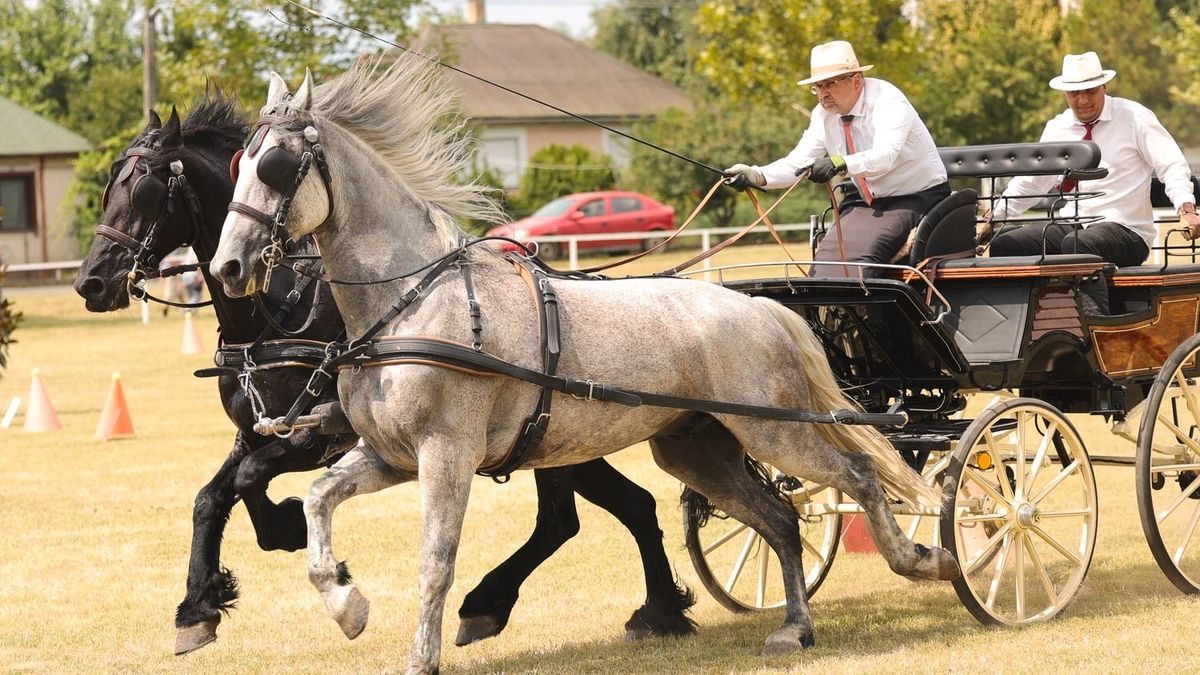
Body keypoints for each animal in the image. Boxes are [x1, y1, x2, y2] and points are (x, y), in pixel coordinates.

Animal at [75, 94, 696, 653]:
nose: (91, 282)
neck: (278, 312)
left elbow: (251, 483)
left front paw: (290, 530)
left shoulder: (315, 437)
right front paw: (198, 609)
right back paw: (651, 611)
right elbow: (211, 498)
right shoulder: (255, 431)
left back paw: (509, 604)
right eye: (108, 187)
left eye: (145, 187)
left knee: (573, 518)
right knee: (616, 509)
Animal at [206, 55, 955, 667]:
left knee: (857, 476)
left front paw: (423, 653)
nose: (228, 266)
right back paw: (794, 627)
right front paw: (348, 605)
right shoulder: (390, 454)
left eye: (275, 167)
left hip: (774, 430)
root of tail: (761, 308)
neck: (413, 303)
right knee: (779, 519)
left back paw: (924, 557)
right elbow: (318, 501)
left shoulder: (446, 454)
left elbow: (435, 563)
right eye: (238, 165)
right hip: (697, 447)